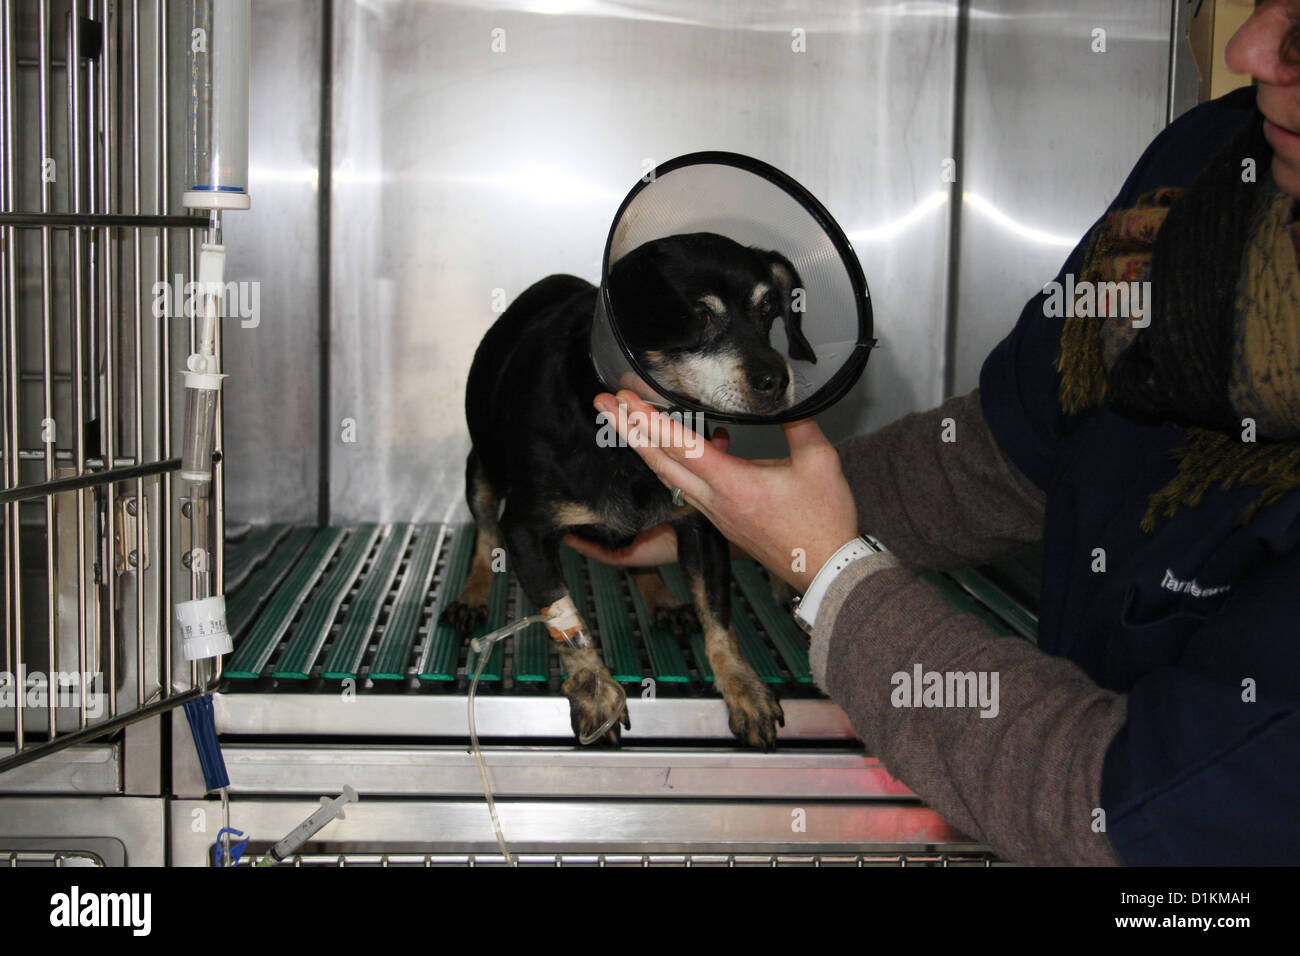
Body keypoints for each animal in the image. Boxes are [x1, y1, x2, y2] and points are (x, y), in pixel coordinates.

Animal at [444, 230, 811, 749]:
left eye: (769, 309)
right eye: (699, 316)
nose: (777, 380)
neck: (624, 447)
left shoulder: (704, 528)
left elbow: (719, 617)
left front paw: (745, 688)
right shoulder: (526, 531)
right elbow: (566, 621)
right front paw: (596, 692)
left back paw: (662, 598)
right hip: (479, 471)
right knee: (484, 534)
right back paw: (473, 594)